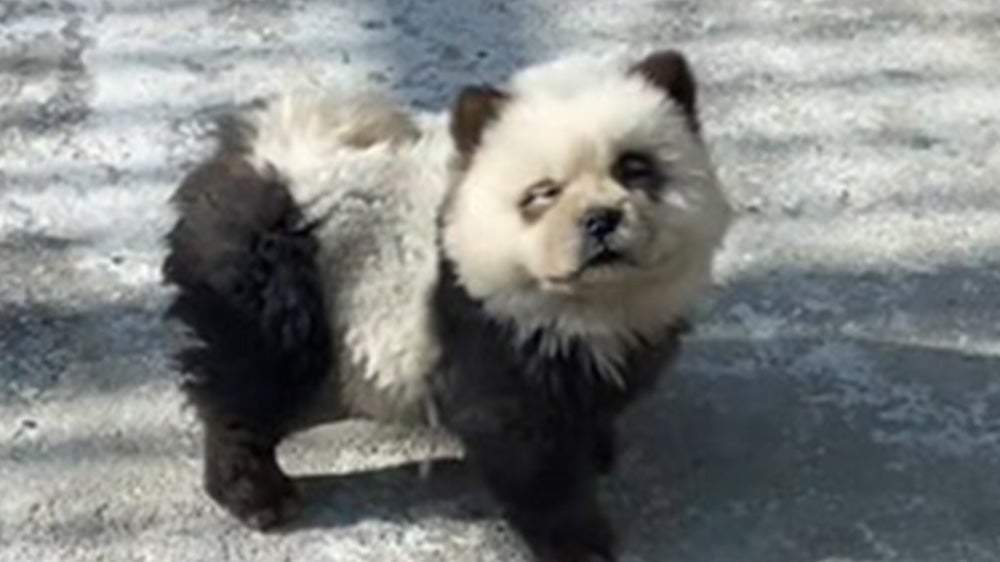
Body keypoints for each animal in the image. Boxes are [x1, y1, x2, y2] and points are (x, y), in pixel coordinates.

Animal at [163, 47, 732, 562]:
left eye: (635, 168)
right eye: (543, 192)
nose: (600, 220)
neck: (591, 299)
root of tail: (265, 159)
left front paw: (596, 448)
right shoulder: (487, 331)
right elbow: (527, 452)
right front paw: (579, 541)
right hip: (276, 291)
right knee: (249, 389)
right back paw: (255, 495)